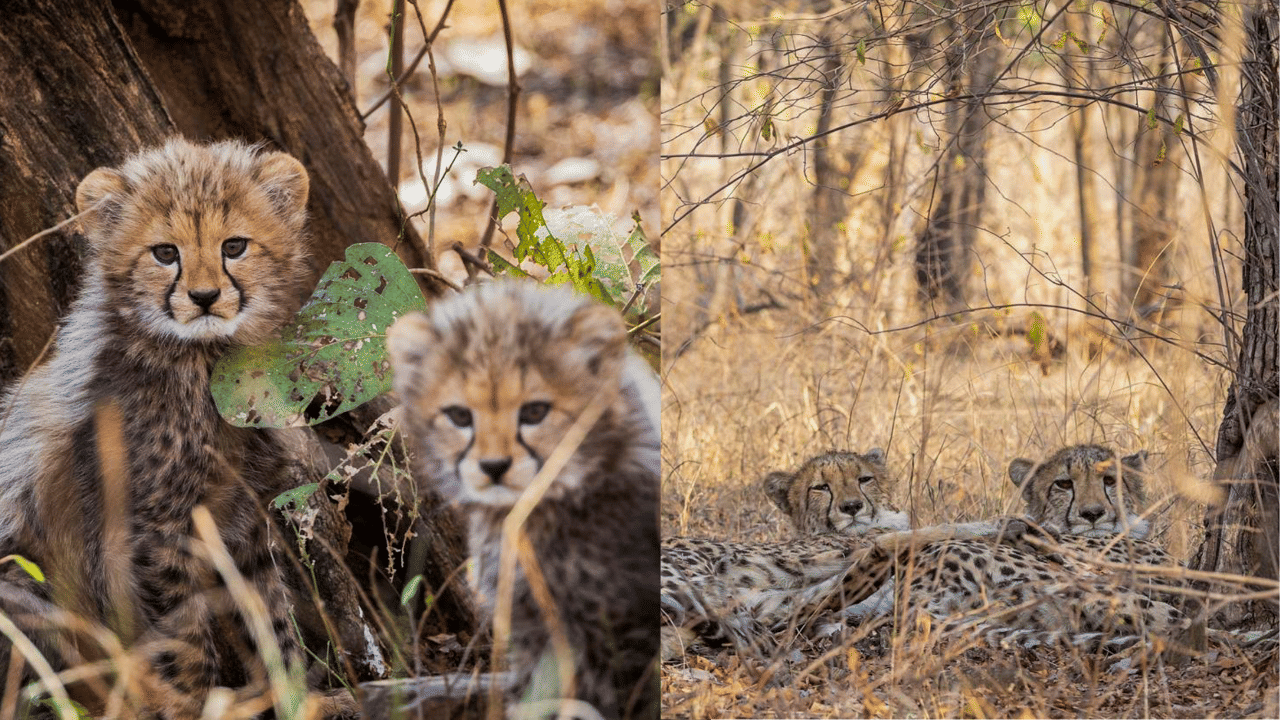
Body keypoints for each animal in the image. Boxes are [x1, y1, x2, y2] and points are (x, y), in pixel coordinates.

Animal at [0, 139, 356, 717]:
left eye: (234, 245)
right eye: (165, 253)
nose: (205, 297)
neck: (204, 361)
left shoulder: (243, 521)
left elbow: (270, 622)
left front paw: (296, 699)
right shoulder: (150, 534)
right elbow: (186, 644)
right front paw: (193, 705)